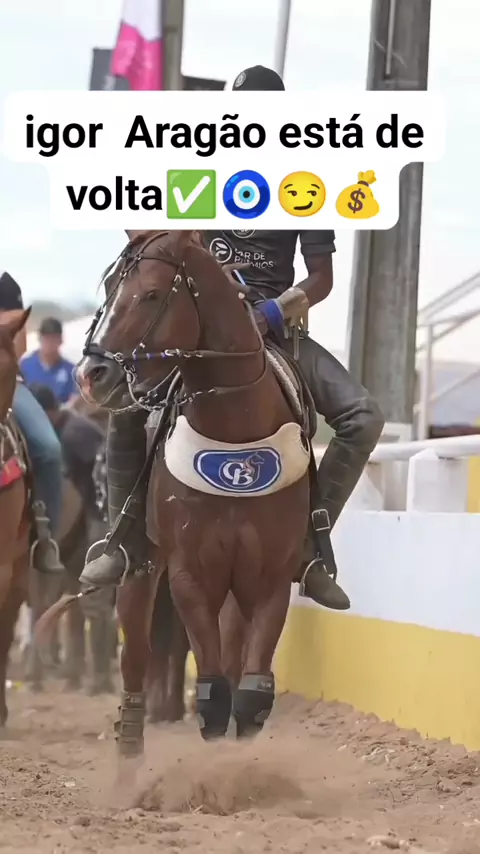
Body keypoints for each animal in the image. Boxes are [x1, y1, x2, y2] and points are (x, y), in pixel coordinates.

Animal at [45, 229, 315, 755]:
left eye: (151, 294)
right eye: (109, 286)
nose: (90, 374)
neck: (235, 432)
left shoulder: (270, 574)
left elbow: (250, 692)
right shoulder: (189, 572)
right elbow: (211, 691)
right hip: (141, 563)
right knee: (135, 653)